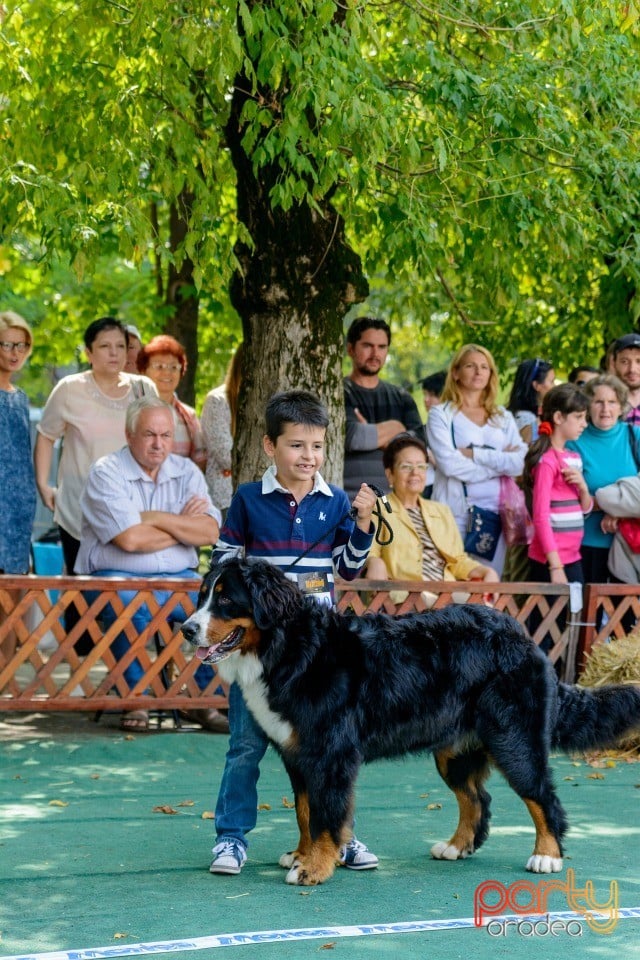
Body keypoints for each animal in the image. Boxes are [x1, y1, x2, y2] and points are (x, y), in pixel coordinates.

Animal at [180, 564, 640, 884]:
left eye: (225, 600)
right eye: (203, 596)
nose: (186, 629)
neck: (290, 646)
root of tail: (523, 636)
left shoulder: (330, 754)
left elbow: (326, 815)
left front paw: (315, 868)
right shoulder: (298, 754)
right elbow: (305, 812)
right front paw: (301, 854)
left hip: (515, 740)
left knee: (543, 798)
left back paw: (547, 855)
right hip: (454, 750)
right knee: (477, 798)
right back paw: (455, 847)